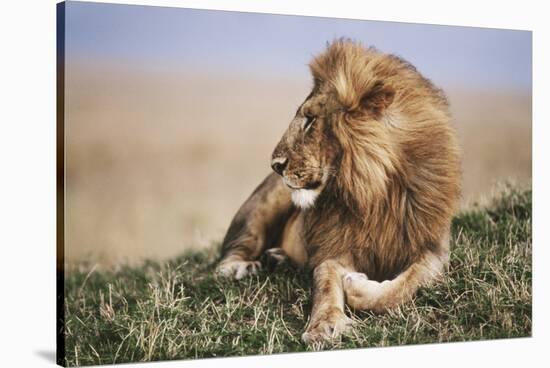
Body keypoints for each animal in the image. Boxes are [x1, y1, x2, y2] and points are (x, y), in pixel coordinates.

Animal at [216, 38, 462, 344]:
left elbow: (403, 287)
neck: (373, 193)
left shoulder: (433, 250)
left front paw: (357, 286)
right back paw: (242, 267)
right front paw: (325, 325)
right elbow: (325, 285)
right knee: (230, 253)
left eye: (310, 120)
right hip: (263, 205)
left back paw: (278, 259)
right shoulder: (335, 249)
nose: (276, 165)